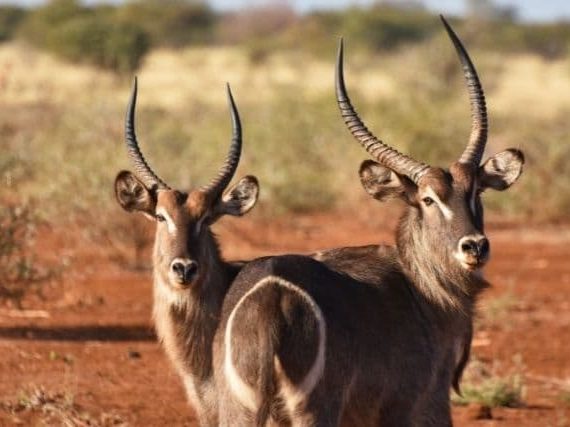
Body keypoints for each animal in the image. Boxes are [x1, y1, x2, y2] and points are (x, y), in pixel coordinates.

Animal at [214, 17, 524, 427]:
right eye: (427, 199)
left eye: (476, 192)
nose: (474, 246)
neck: (421, 287)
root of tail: (271, 293)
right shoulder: (418, 403)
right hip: (315, 409)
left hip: (238, 410)